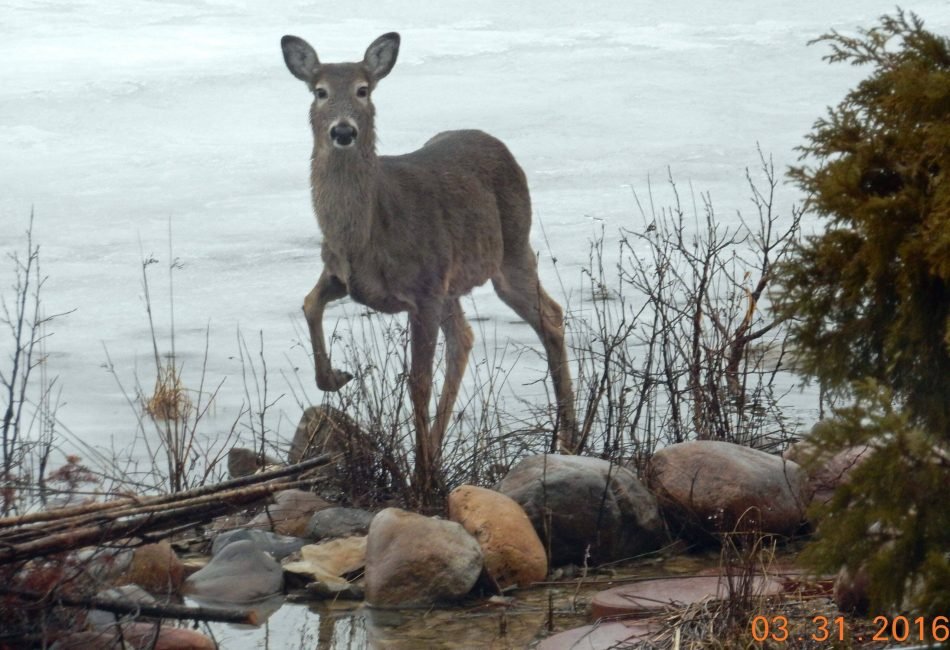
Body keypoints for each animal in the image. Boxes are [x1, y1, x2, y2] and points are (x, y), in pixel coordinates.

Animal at [280, 32, 577, 487]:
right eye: (320, 91)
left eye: (363, 90)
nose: (343, 131)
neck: (366, 232)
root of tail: (497, 143)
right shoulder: (341, 273)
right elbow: (309, 304)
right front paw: (334, 377)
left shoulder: (423, 289)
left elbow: (417, 382)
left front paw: (418, 478)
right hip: (453, 280)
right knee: (466, 337)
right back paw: (439, 453)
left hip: (511, 248)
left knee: (550, 315)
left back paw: (567, 441)